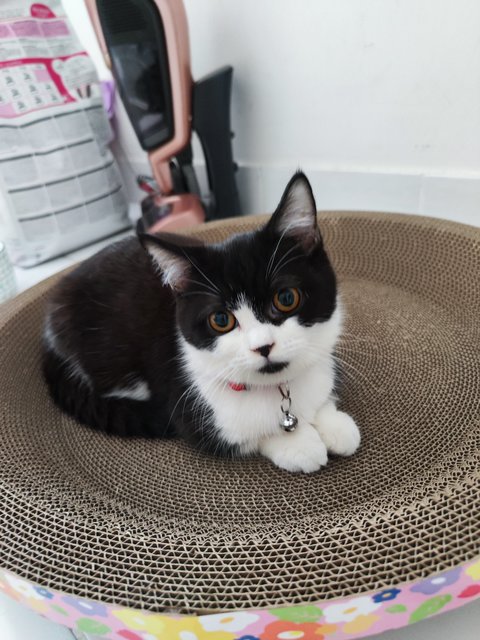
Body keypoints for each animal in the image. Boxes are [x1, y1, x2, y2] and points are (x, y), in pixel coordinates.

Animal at [43, 172, 360, 472]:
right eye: (220, 319)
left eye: (286, 297)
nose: (263, 346)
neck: (277, 387)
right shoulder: (189, 403)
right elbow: (242, 434)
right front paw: (298, 444)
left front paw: (334, 424)